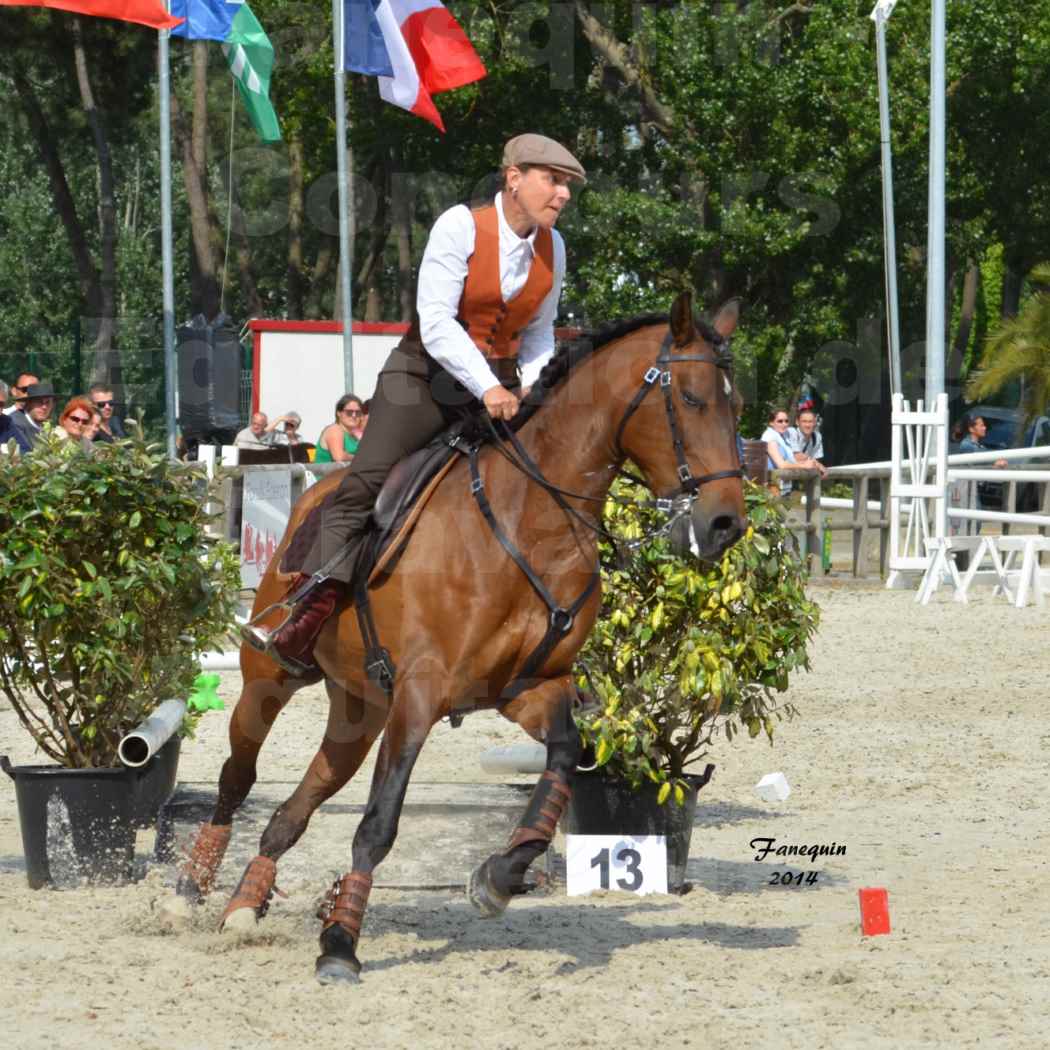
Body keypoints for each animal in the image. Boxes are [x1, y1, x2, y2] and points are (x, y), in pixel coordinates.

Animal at [161, 289, 747, 982]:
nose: (726, 524)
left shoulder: (529, 689)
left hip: (358, 711)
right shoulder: (419, 696)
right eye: (691, 398)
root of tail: (315, 494)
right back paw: (189, 890)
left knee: (292, 810)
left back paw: (244, 906)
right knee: (238, 777)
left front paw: (499, 875)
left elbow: (563, 760)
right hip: (270, 681)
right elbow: (379, 822)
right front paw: (340, 943)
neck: (531, 522)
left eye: (737, 405)